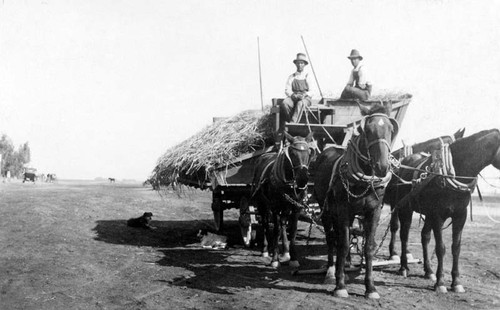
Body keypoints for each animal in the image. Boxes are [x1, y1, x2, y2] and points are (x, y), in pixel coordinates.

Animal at [252, 131, 314, 266]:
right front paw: (275, 259)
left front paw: (293, 257)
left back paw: (285, 252)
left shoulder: (296, 207)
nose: (303, 179)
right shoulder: (275, 207)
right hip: (262, 204)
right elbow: (276, 230)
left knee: (283, 224)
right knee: (266, 223)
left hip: (285, 207)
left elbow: (293, 231)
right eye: (292, 153)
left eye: (309, 153)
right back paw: (266, 249)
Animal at [312, 101, 398, 298]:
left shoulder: (374, 211)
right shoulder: (344, 209)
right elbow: (343, 244)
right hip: (326, 208)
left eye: (391, 129)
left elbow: (368, 247)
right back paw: (331, 271)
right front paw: (340, 285)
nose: (382, 166)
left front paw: (370, 288)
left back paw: (346, 264)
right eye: (367, 129)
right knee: (331, 238)